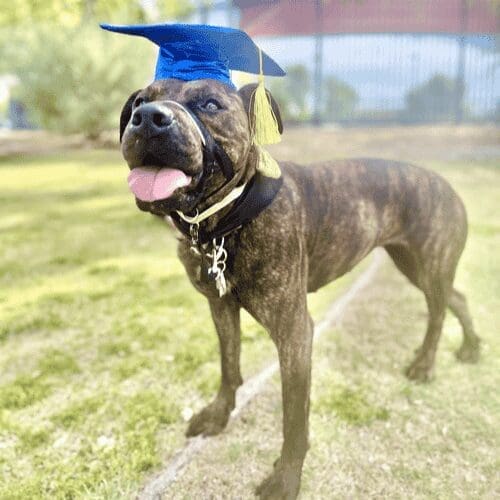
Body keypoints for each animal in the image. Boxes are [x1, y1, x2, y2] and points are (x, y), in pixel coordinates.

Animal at [119, 78, 480, 499]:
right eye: (139, 102)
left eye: (210, 104)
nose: (149, 118)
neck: (226, 222)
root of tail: (446, 183)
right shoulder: (221, 309)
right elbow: (229, 367)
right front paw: (218, 415)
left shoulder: (293, 332)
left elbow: (294, 417)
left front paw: (286, 477)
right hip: (415, 266)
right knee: (457, 298)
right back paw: (471, 347)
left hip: (429, 265)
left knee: (438, 311)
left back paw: (424, 363)